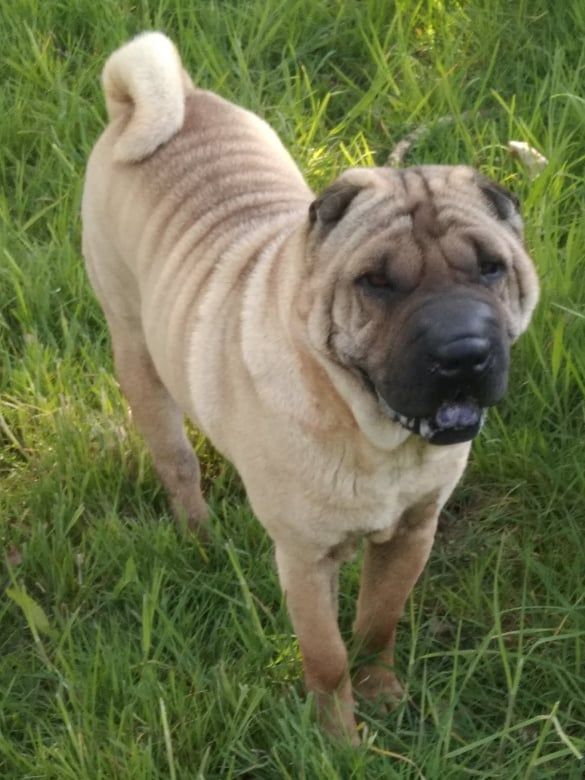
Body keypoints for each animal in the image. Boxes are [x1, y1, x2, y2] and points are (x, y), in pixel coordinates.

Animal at [82, 32, 539, 742]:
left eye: (491, 268)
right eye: (376, 282)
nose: (462, 351)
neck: (375, 440)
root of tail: (166, 97)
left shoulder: (413, 531)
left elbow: (378, 623)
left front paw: (382, 696)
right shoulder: (303, 558)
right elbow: (326, 658)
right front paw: (340, 742)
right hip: (137, 353)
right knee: (177, 462)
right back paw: (199, 537)